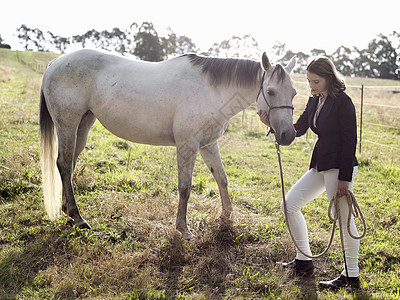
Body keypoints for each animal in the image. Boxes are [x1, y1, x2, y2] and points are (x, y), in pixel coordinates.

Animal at [40, 49, 296, 239]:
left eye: (293, 93)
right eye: (271, 91)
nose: (287, 135)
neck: (210, 90)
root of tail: (56, 62)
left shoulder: (208, 144)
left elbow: (222, 180)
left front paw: (227, 219)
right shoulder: (187, 144)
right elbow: (185, 187)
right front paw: (184, 229)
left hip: (82, 126)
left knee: (69, 165)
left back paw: (67, 211)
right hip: (67, 125)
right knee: (64, 165)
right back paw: (78, 218)